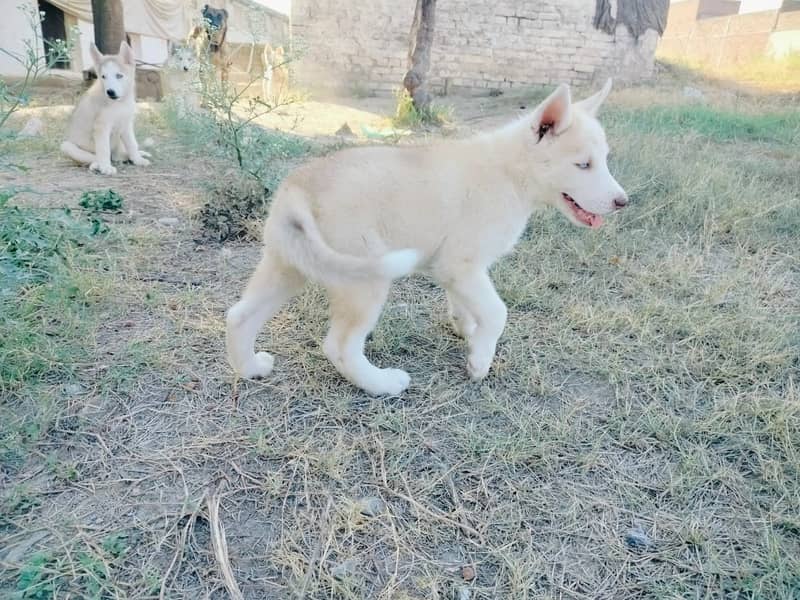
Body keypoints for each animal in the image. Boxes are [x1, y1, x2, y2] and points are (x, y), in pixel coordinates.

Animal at [61, 40, 150, 173]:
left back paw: (133, 155)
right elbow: (103, 149)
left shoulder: (126, 124)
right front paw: (106, 167)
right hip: (66, 146)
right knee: (93, 158)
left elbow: (132, 144)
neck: (120, 103)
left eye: (119, 75)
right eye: (103, 77)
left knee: (118, 156)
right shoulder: (101, 127)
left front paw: (138, 160)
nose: (110, 92)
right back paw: (98, 165)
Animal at [227, 81, 632, 398]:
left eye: (605, 160)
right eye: (583, 165)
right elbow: (497, 312)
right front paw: (480, 360)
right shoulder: (461, 265)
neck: (512, 173)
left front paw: (467, 331)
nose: (622, 202)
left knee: (239, 315)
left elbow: (469, 306)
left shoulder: (457, 270)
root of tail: (298, 186)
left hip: (289, 267)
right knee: (339, 346)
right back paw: (383, 384)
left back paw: (250, 368)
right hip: (365, 279)